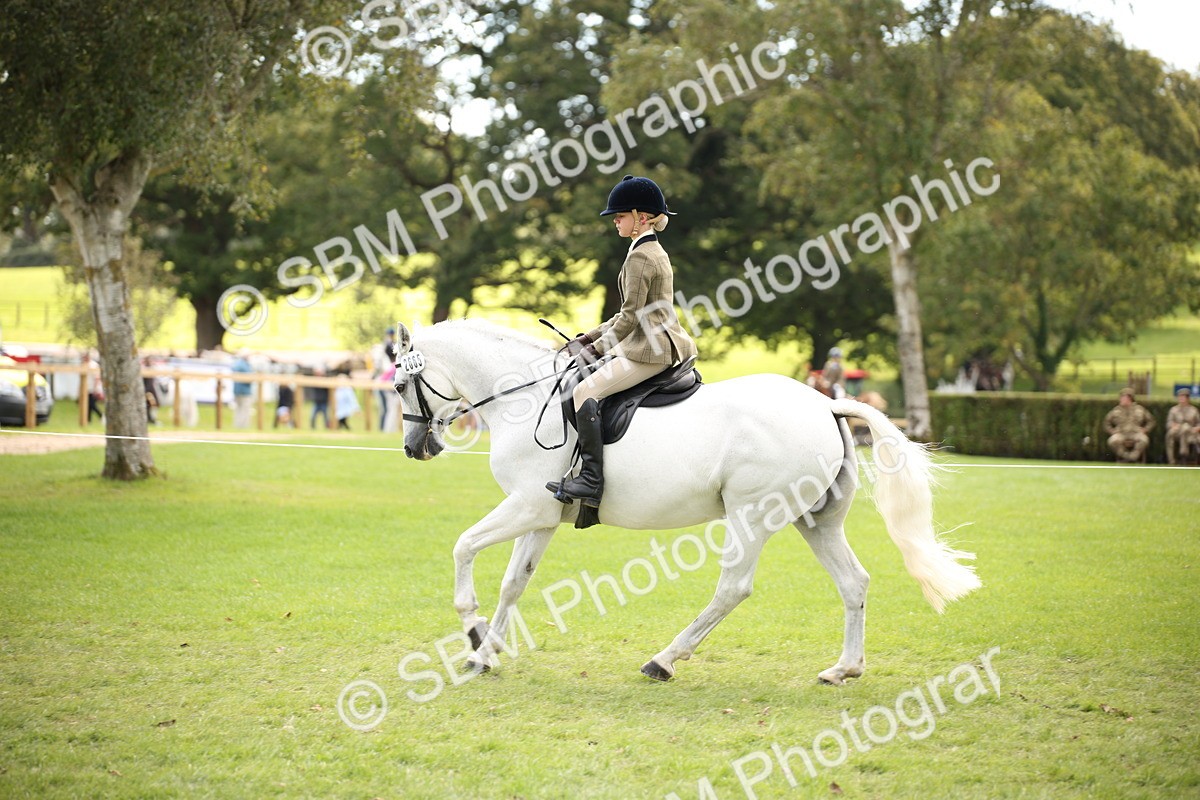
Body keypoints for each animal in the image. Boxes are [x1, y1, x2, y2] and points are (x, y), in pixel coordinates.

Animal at [390, 319, 980, 684]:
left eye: (397, 385)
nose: (414, 448)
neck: (523, 397)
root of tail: (826, 406)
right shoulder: (542, 515)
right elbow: (515, 582)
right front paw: (486, 651)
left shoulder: (526, 507)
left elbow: (463, 548)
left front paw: (472, 632)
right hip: (816, 520)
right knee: (853, 582)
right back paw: (844, 669)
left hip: (751, 515)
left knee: (733, 588)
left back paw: (664, 660)